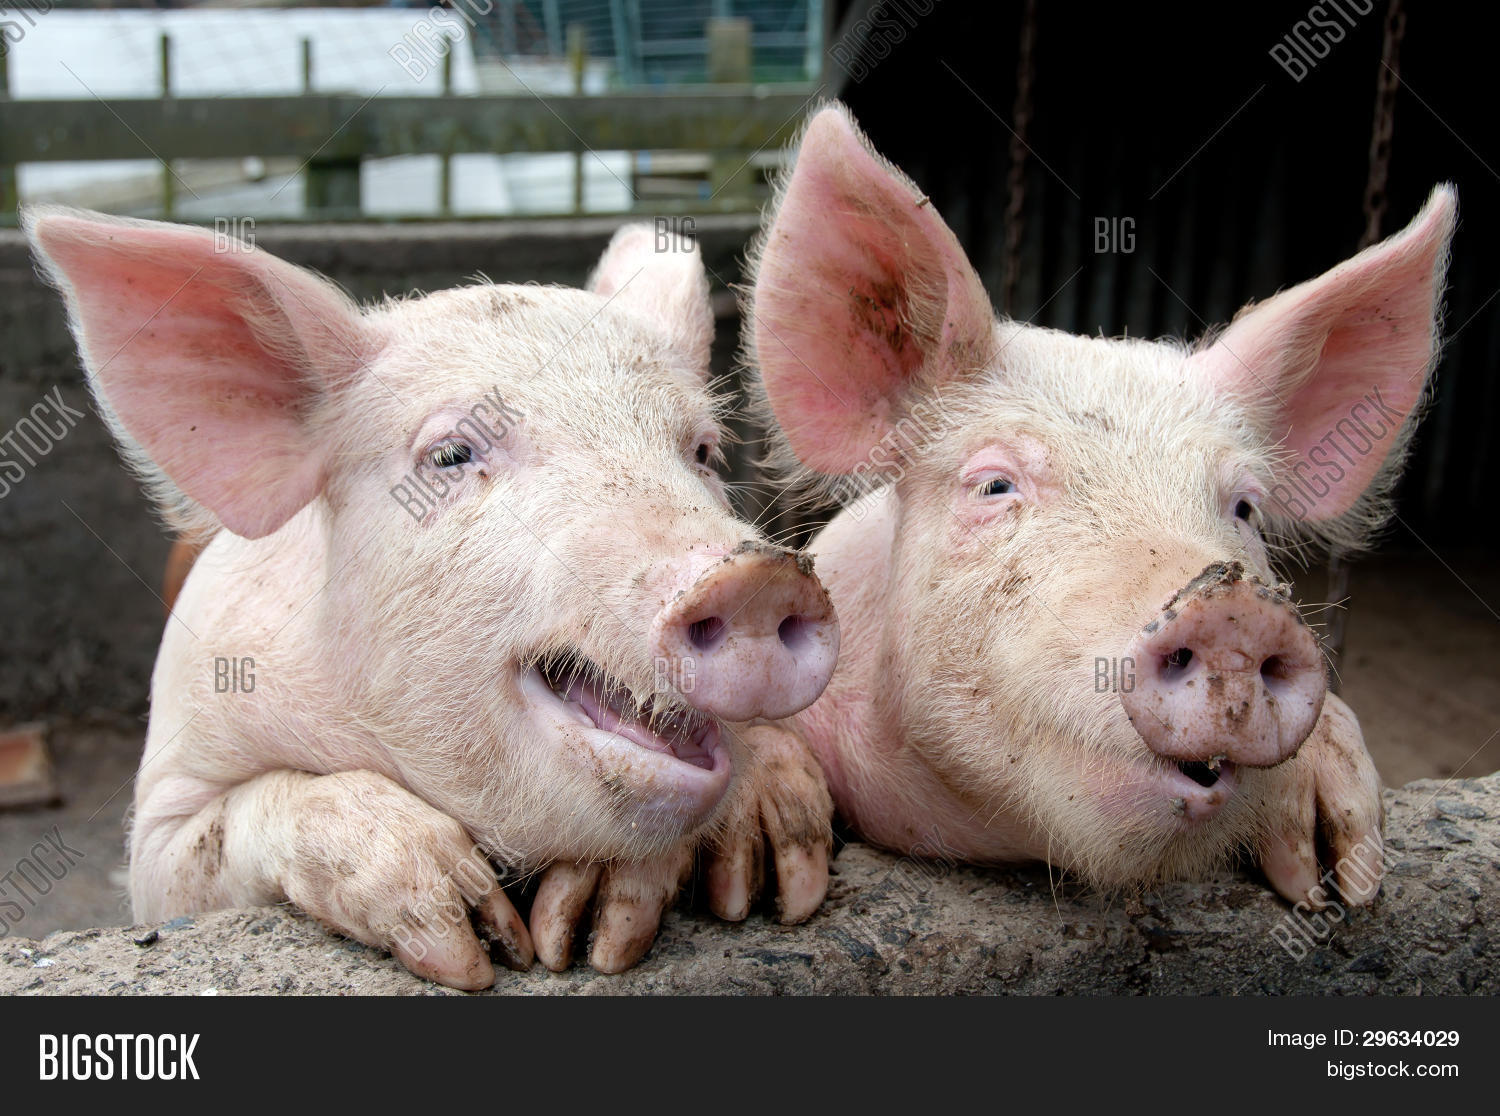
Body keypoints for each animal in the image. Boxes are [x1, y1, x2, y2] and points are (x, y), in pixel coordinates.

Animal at [27, 208, 839, 988]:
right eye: (450, 454)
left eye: (703, 452)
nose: (759, 578)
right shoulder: (168, 799)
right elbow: (215, 836)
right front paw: (477, 943)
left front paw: (624, 925)